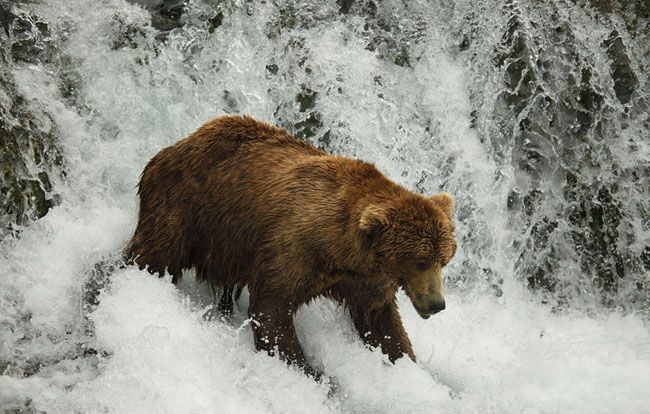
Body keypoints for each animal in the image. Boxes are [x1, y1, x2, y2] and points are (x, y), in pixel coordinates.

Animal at [124, 115, 454, 376]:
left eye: (444, 259)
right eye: (421, 261)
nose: (437, 304)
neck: (341, 250)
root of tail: (182, 141)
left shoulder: (365, 277)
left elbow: (381, 320)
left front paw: (405, 363)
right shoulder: (294, 246)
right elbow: (273, 307)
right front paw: (304, 368)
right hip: (189, 206)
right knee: (157, 250)